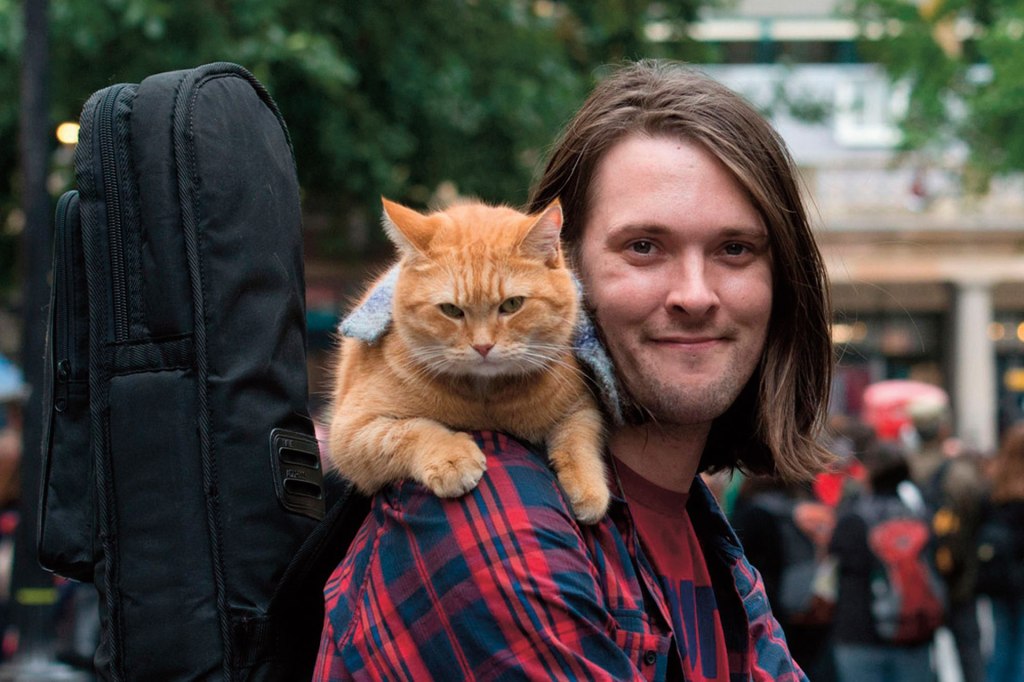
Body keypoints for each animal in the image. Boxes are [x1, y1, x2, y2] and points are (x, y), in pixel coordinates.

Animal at [329, 196, 606, 520]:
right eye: (451, 310)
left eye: (512, 304)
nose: (483, 346)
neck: (485, 398)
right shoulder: (351, 431)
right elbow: (409, 431)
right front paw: (451, 457)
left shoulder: (581, 405)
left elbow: (579, 438)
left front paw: (588, 486)